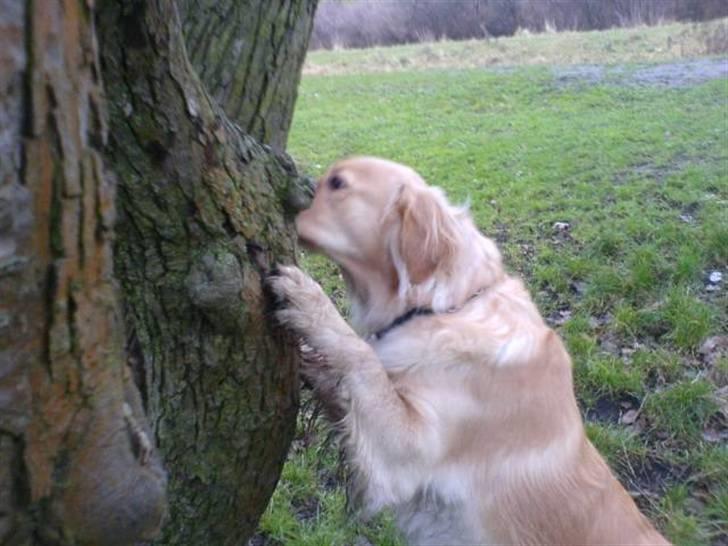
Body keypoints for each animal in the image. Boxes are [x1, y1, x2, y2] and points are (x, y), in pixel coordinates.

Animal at [268, 155, 672, 540]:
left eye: (337, 183)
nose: (293, 197)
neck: (448, 305)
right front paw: (312, 364)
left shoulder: (405, 451)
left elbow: (363, 358)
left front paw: (309, 301)